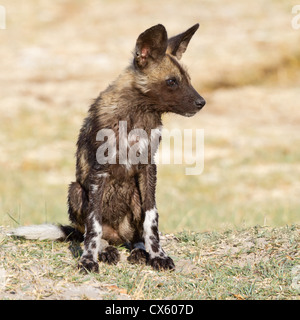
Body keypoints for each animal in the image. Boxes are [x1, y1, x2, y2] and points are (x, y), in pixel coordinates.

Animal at [9, 23, 206, 272]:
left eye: (188, 79)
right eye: (172, 82)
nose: (202, 103)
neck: (136, 115)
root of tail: (117, 236)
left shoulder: (148, 169)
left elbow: (151, 220)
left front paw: (157, 256)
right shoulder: (99, 174)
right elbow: (94, 227)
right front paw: (88, 260)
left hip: (134, 195)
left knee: (134, 236)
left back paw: (139, 251)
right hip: (76, 190)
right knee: (93, 232)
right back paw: (106, 250)